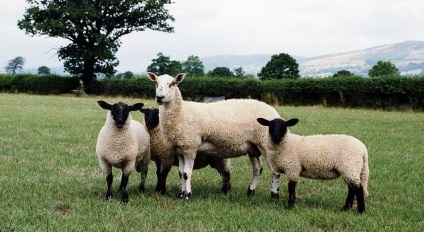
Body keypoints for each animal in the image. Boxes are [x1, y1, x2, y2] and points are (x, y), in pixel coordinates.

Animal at [147, 72, 282, 199]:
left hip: (266, 143)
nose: (159, 97)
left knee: (274, 170)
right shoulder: (180, 148)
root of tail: (273, 110)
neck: (182, 112)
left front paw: (187, 195)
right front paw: (181, 194)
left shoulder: (190, 146)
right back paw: (250, 191)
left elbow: (186, 173)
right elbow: (180, 173)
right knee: (257, 169)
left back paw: (274, 195)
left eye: (172, 83)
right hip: (252, 147)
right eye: (156, 83)